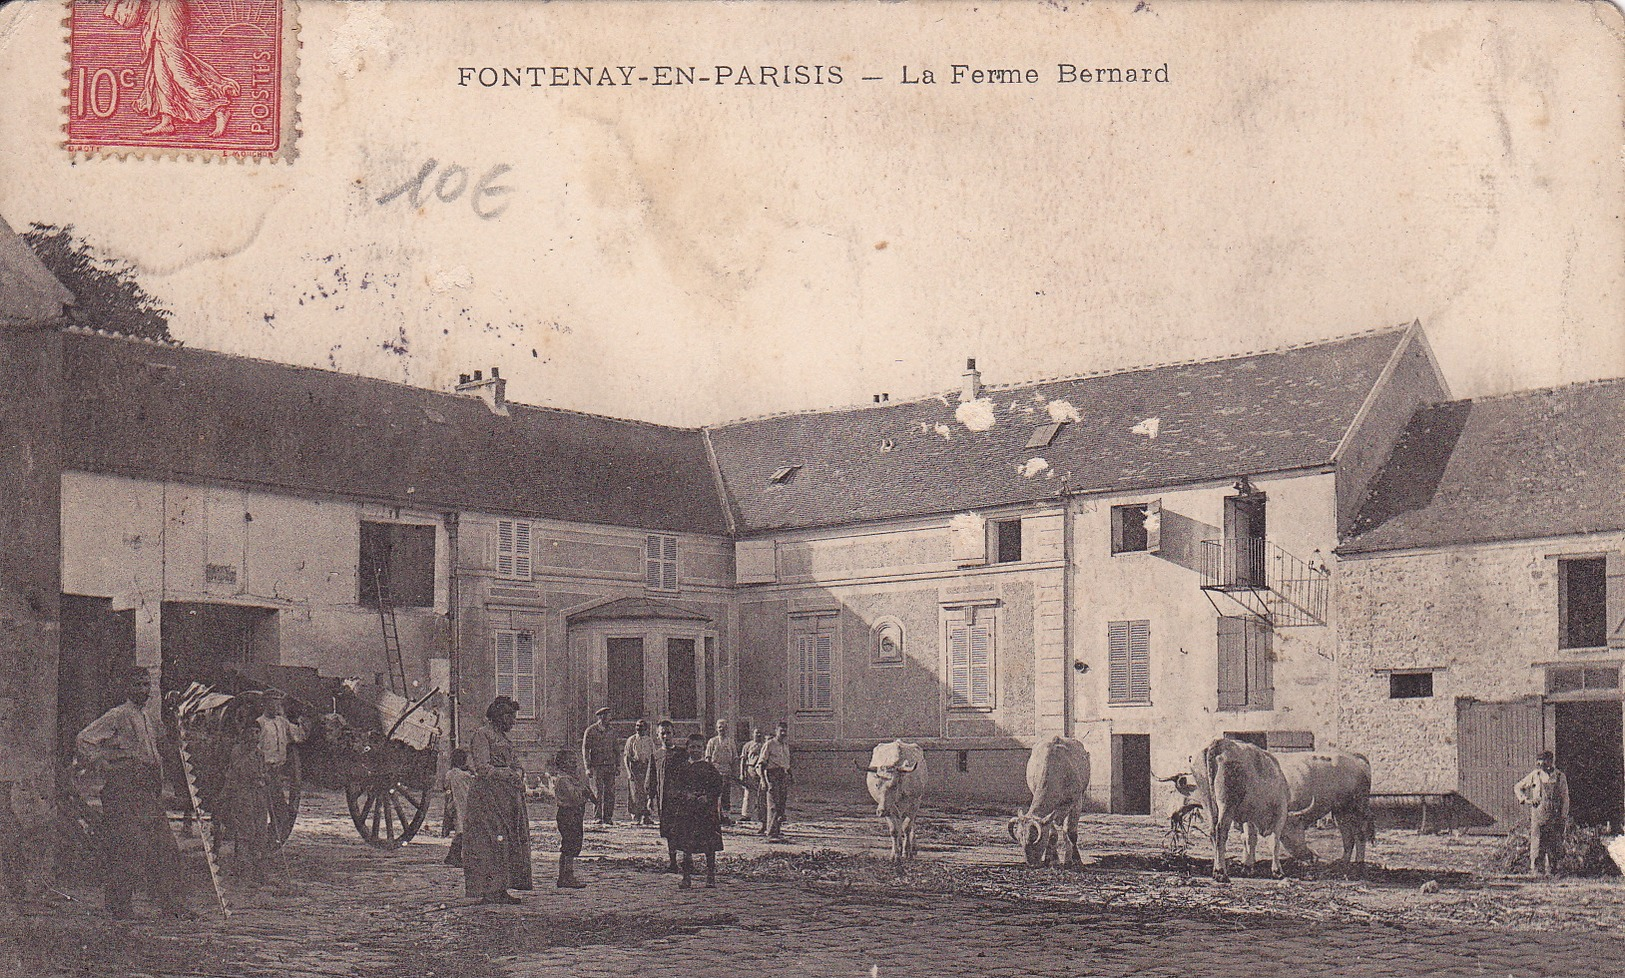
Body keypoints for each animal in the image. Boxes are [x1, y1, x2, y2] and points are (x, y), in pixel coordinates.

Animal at [1001, 734, 1092, 864]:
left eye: (1034, 838)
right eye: (1019, 838)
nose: (1031, 862)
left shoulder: (1076, 803)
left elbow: (1070, 833)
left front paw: (1074, 860)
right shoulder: (1050, 812)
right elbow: (1052, 834)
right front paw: (1052, 858)